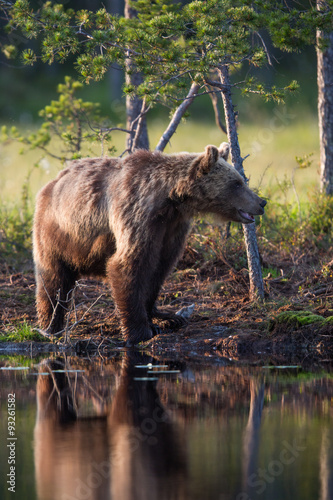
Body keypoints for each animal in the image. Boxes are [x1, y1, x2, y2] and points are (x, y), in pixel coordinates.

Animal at [33, 144, 266, 344]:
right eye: (237, 183)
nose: (262, 202)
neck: (170, 200)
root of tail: (51, 183)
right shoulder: (137, 214)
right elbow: (127, 265)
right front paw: (141, 331)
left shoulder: (171, 228)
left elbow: (159, 269)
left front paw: (163, 316)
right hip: (57, 233)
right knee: (54, 279)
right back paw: (50, 325)